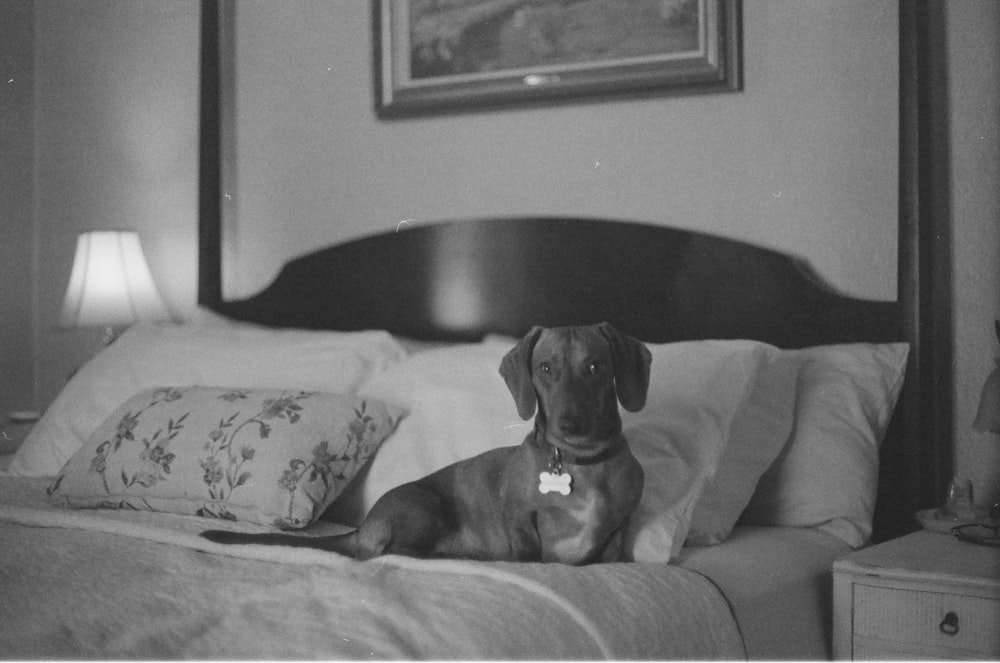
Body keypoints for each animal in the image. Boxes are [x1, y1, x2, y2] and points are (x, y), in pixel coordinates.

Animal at [205, 324, 648, 564]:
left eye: (596, 366)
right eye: (545, 368)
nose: (569, 423)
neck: (581, 463)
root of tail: (365, 526)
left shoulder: (618, 528)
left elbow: (612, 554)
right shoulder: (521, 518)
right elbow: (528, 549)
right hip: (425, 504)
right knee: (393, 552)